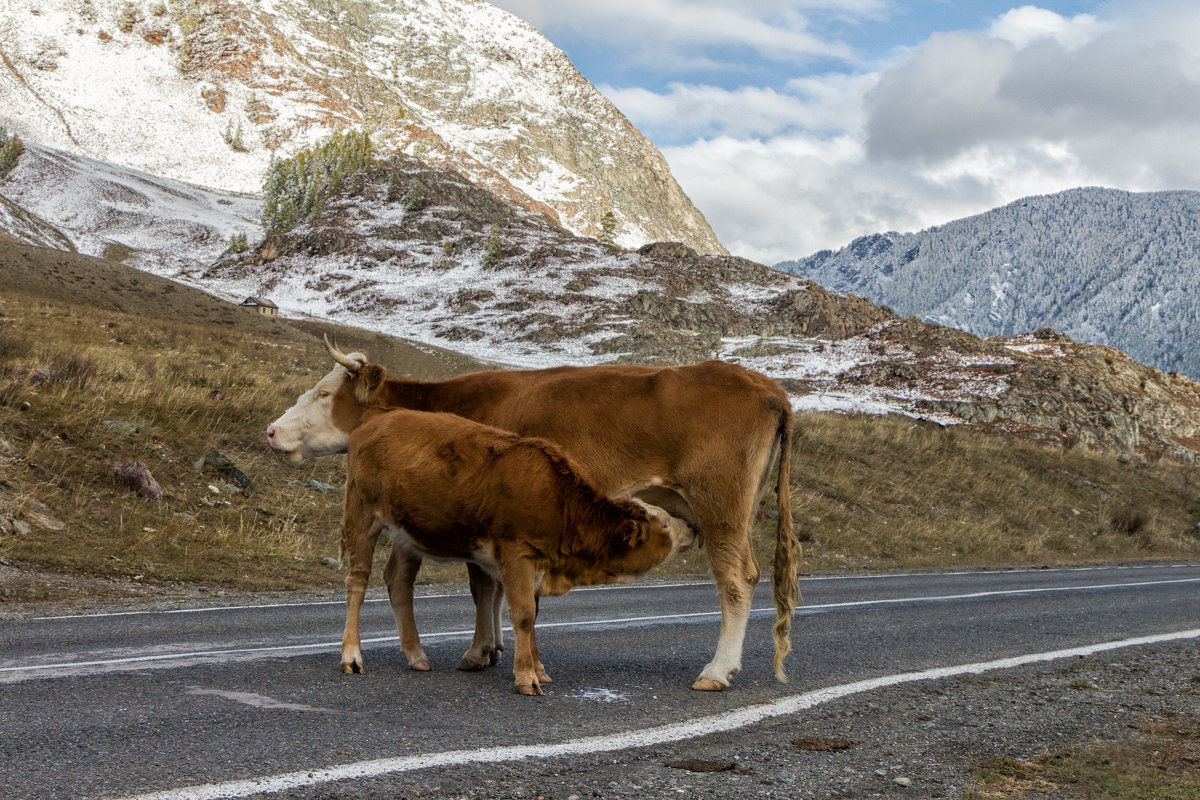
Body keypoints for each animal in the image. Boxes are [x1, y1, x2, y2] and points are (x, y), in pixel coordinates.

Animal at [343, 407, 696, 695]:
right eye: (665, 524)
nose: (692, 527)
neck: (556, 500)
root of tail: (374, 423)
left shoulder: (537, 563)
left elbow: (533, 615)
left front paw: (538, 668)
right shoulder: (516, 555)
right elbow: (523, 614)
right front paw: (527, 677)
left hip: (406, 535)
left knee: (399, 581)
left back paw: (417, 656)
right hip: (361, 517)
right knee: (357, 582)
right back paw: (352, 656)